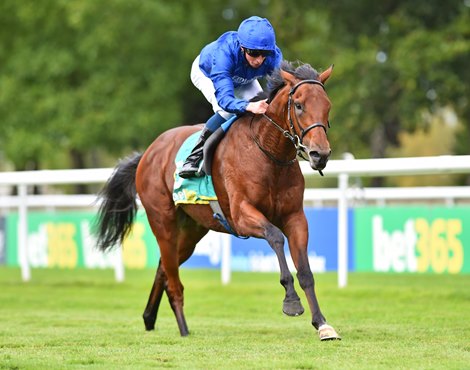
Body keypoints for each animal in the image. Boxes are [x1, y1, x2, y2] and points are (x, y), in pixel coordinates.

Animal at [95, 60, 340, 342]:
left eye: (327, 106)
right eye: (299, 105)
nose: (320, 154)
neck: (268, 153)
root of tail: (149, 152)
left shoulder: (295, 217)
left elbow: (306, 272)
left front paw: (322, 324)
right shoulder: (242, 215)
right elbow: (276, 237)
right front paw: (291, 301)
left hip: (191, 231)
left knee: (164, 267)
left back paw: (149, 318)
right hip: (163, 222)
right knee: (173, 278)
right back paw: (183, 329)